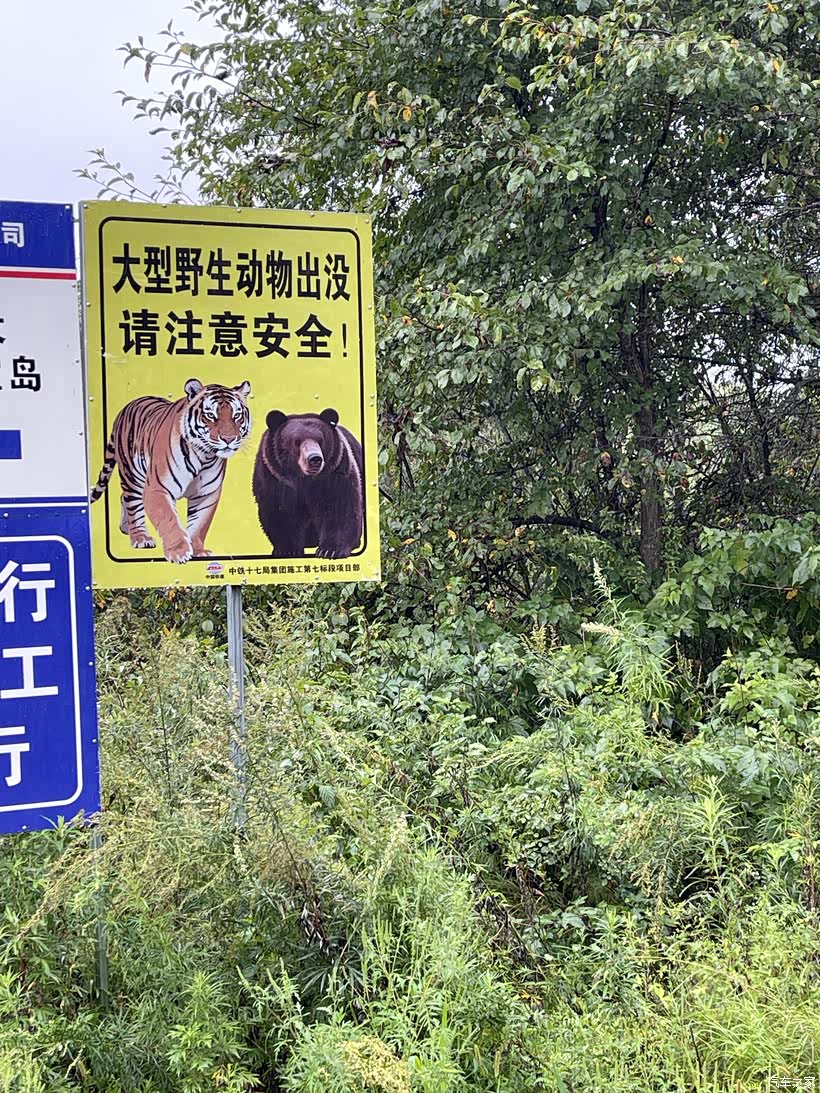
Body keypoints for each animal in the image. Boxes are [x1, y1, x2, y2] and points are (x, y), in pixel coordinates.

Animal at [91, 378, 252, 564]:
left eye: (237, 415)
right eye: (210, 415)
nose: (228, 439)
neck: (204, 456)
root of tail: (125, 408)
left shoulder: (206, 494)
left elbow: (199, 524)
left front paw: (198, 551)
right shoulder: (158, 488)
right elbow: (169, 520)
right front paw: (179, 552)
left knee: (124, 498)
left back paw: (126, 528)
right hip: (132, 475)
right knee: (133, 503)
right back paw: (140, 537)